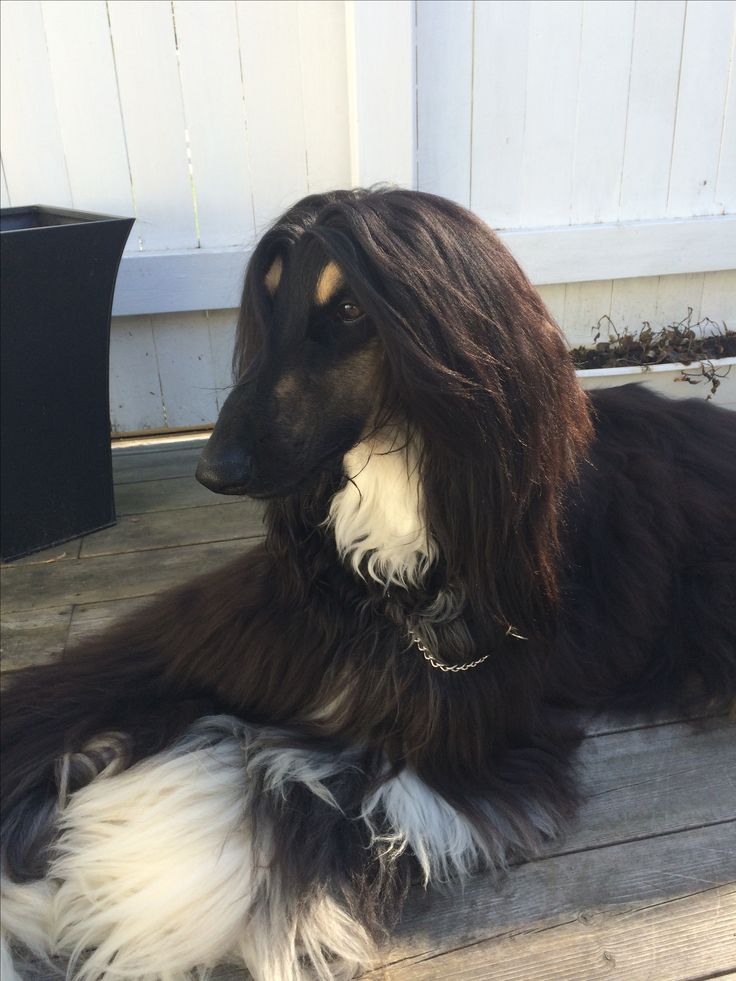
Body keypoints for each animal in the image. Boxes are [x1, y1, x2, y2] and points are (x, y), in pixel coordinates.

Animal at [1, 188, 736, 976]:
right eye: (268, 297)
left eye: (352, 308)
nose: (214, 469)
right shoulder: (213, 638)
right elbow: (62, 701)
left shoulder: (449, 738)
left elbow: (275, 790)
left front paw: (104, 877)